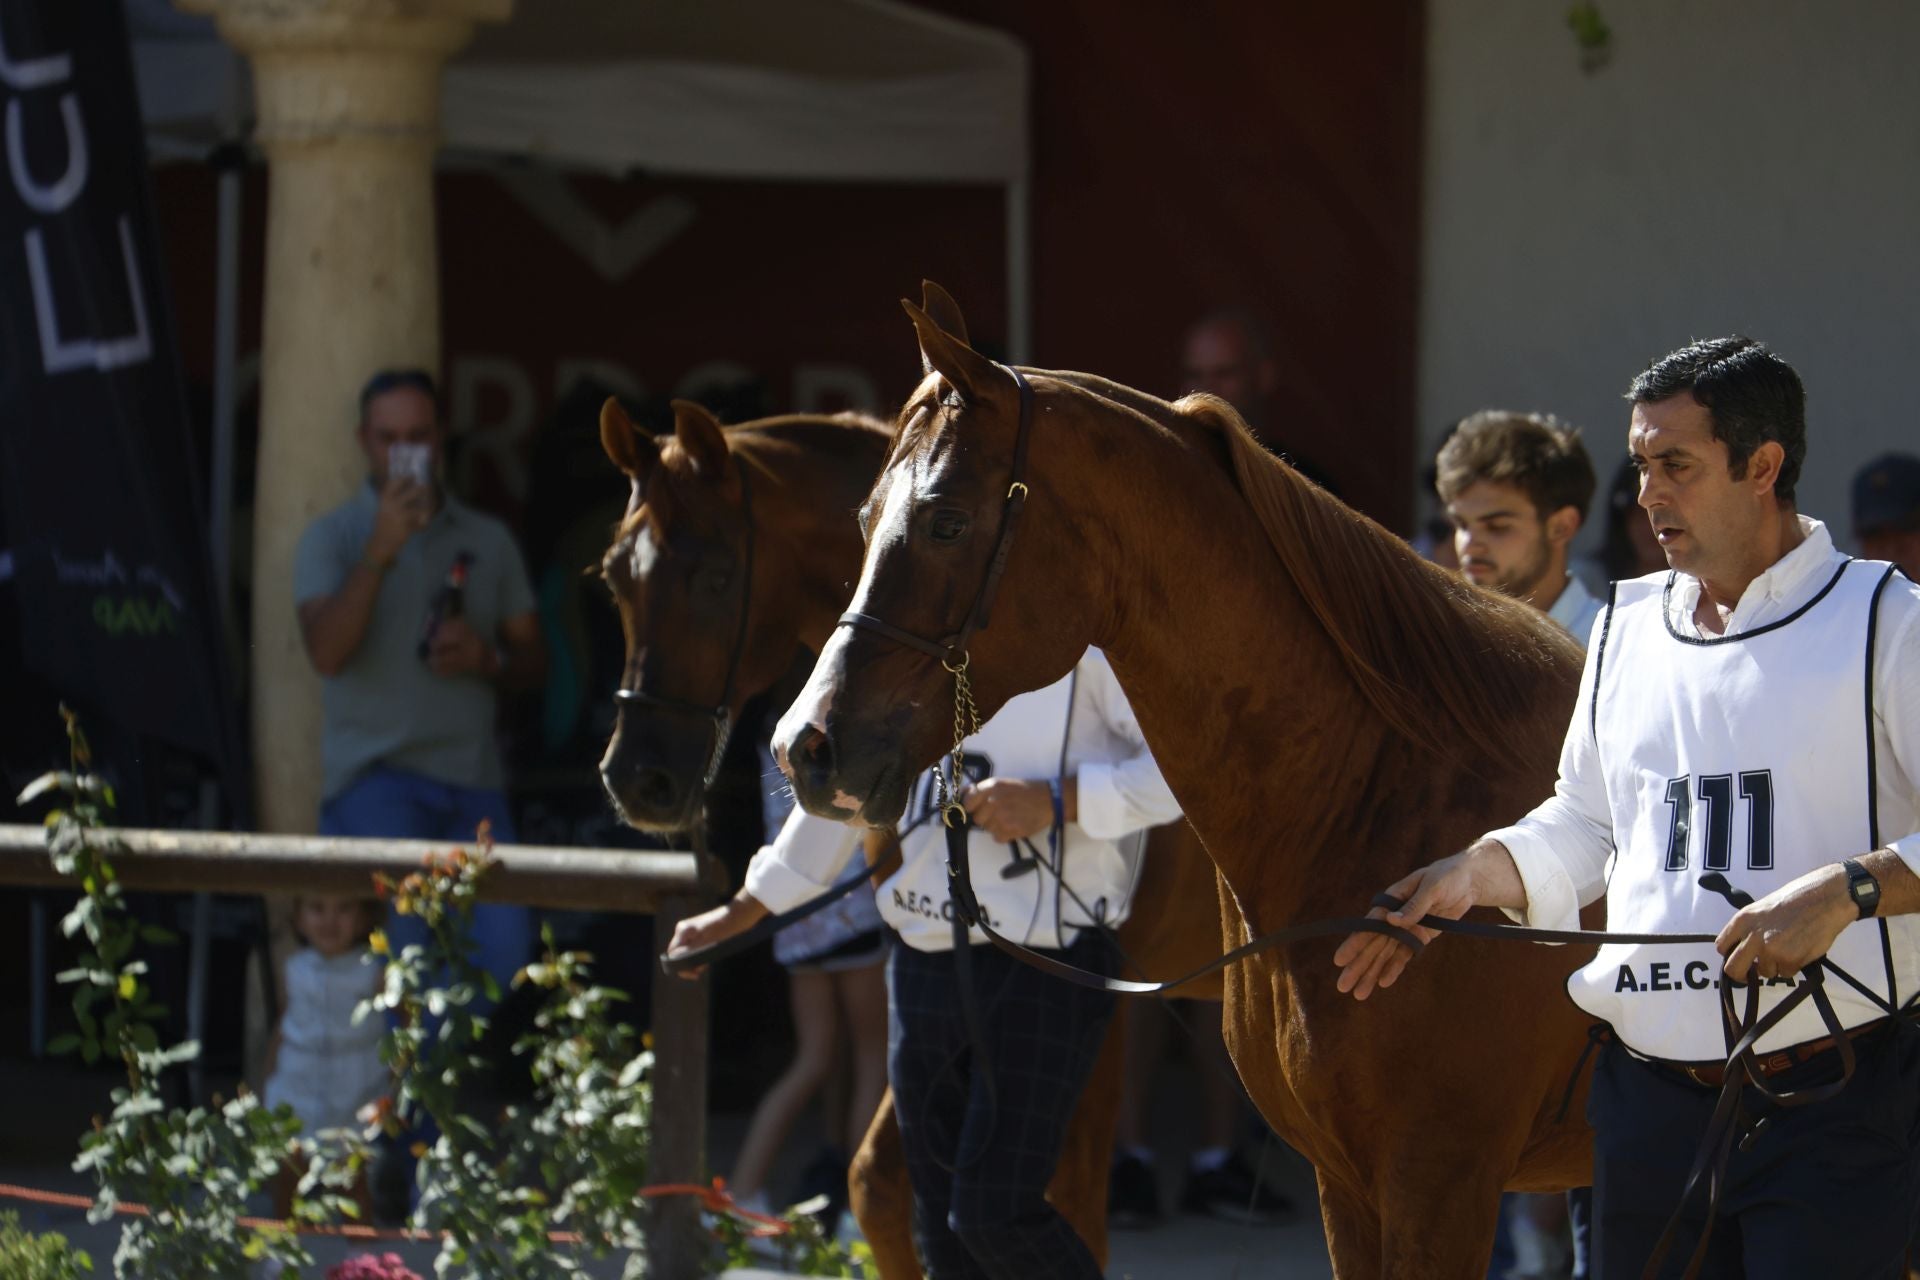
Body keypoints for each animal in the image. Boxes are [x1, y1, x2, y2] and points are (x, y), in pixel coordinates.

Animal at [772, 283, 1600, 1277]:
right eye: (863, 521)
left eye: (946, 520)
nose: (807, 745)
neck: (1398, 807)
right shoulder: (1350, 1187)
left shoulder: (1440, 1187)